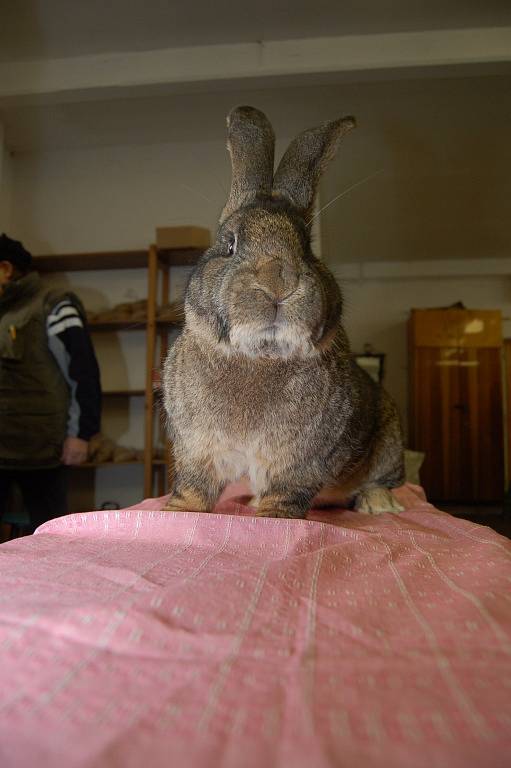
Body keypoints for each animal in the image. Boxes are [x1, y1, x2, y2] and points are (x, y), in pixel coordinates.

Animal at [162, 105, 406, 520]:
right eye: (229, 244)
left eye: (307, 248)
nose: (278, 281)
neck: (258, 356)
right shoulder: (198, 453)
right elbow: (194, 489)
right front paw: (174, 513)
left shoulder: (298, 464)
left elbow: (284, 496)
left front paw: (271, 518)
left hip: (389, 442)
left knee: (382, 481)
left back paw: (380, 505)